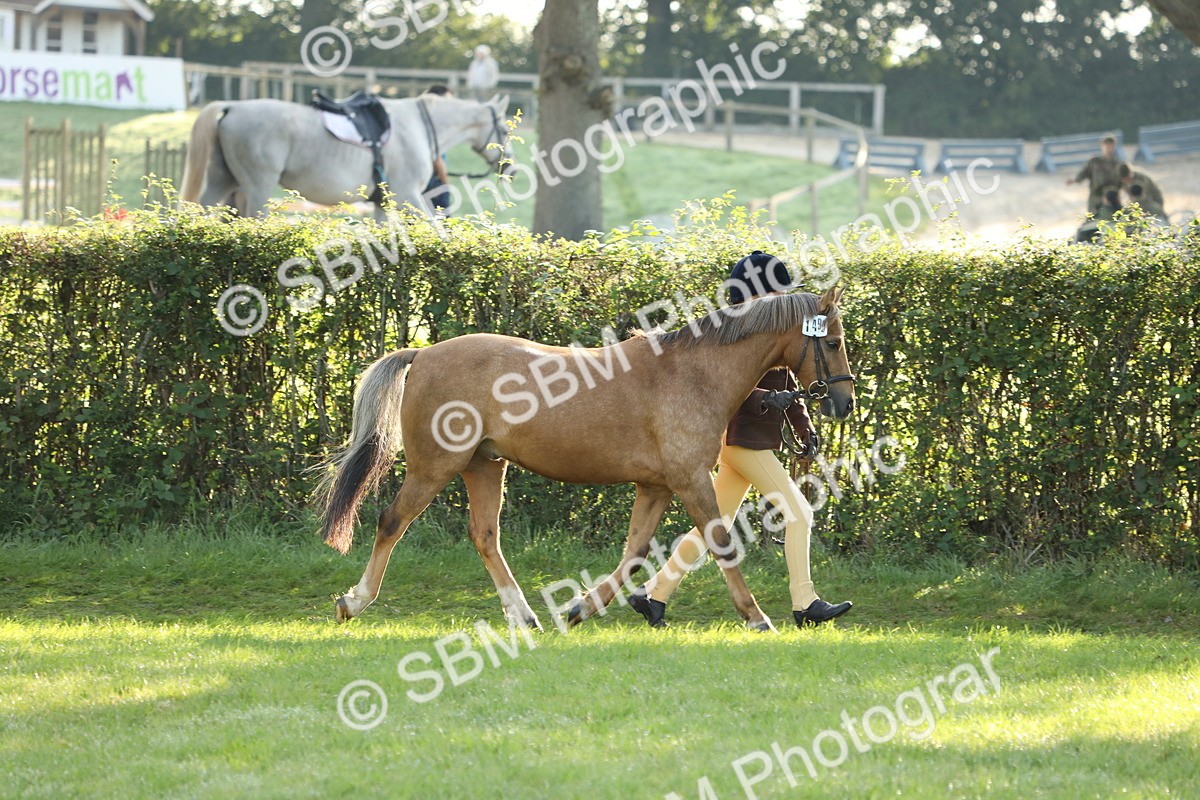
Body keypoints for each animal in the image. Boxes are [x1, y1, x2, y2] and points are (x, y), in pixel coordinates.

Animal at [179, 94, 512, 220]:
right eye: (505, 130)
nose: (510, 169)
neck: (419, 125)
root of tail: (232, 106)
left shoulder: (382, 202)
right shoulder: (409, 196)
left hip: (222, 181)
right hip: (256, 188)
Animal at [316, 287, 856, 632]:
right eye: (832, 341)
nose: (843, 402)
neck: (694, 373)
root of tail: (423, 353)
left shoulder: (657, 486)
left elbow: (634, 552)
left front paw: (580, 609)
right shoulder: (690, 480)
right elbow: (720, 544)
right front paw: (757, 618)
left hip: (485, 465)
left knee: (485, 536)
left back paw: (525, 616)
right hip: (435, 466)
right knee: (392, 521)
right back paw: (352, 602)